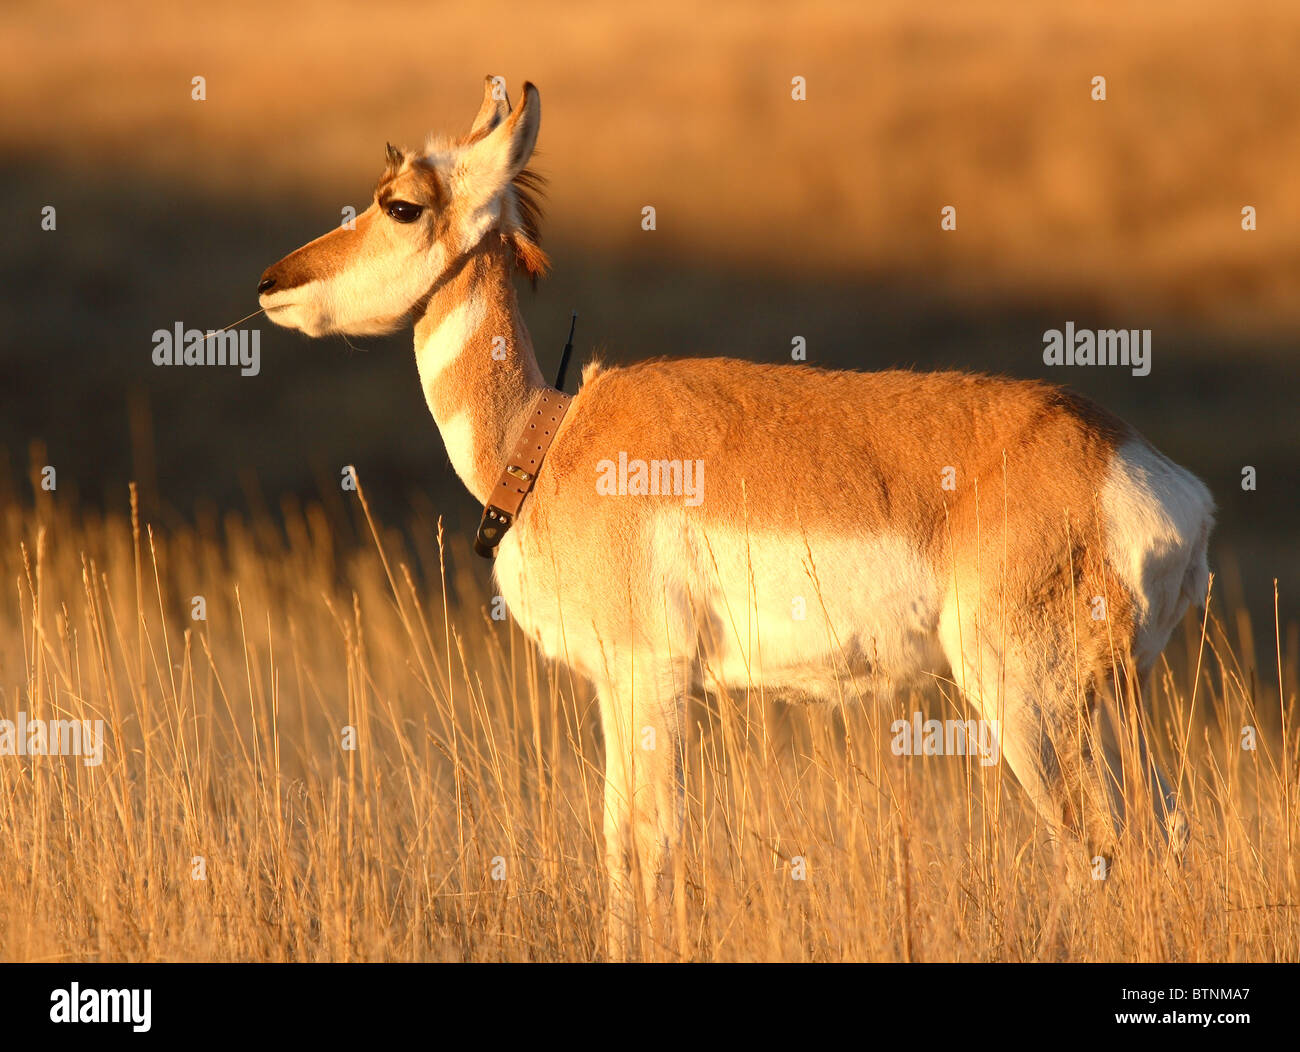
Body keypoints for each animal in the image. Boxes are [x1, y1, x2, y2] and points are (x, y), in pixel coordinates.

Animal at [258, 78, 1211, 957]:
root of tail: (1140, 466)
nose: (272, 283)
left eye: (401, 204)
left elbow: (651, 843)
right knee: (1162, 831)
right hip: (1108, 707)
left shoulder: (653, 677)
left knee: (1094, 844)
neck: (550, 437)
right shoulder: (617, 686)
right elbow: (615, 839)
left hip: (1028, 703)